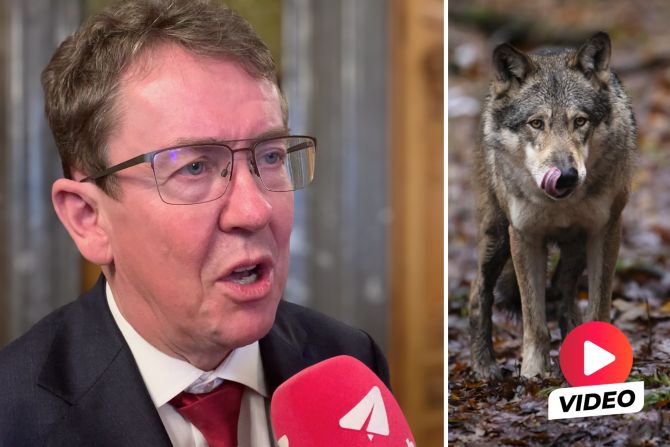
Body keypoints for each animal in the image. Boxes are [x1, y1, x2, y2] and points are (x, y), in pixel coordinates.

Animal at [468, 32, 636, 379]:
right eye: (536, 123)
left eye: (580, 121)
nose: (566, 176)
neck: (561, 204)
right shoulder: (525, 237)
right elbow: (534, 321)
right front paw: (533, 374)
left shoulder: (605, 232)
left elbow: (598, 307)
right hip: (497, 237)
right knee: (478, 292)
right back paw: (484, 365)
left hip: (576, 245)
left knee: (561, 288)